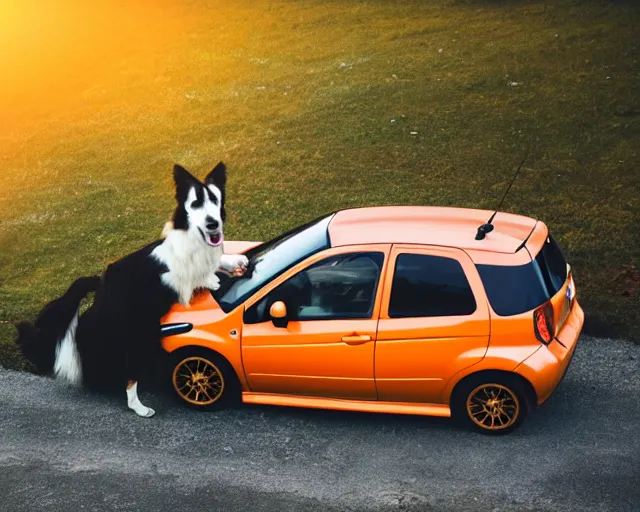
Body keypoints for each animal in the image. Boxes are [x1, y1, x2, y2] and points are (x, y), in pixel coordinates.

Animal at [14, 162, 250, 418]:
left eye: (215, 199)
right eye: (196, 202)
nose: (212, 224)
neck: (193, 237)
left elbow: (215, 261)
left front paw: (234, 261)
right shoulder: (170, 277)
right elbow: (189, 275)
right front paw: (211, 279)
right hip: (139, 333)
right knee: (129, 376)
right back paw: (140, 408)